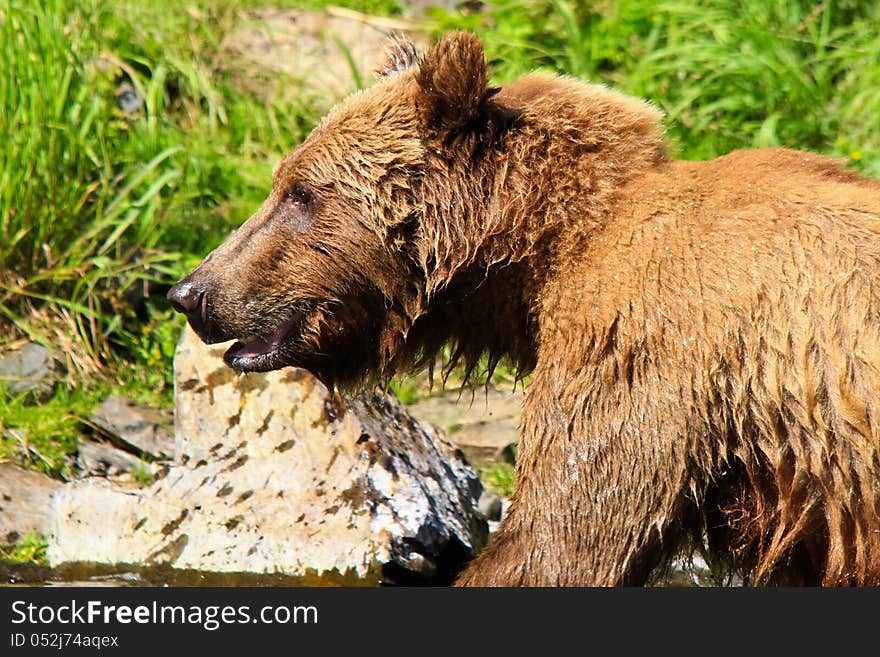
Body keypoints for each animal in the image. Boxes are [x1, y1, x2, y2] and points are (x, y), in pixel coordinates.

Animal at [168, 32, 880, 584]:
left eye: (301, 193)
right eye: (283, 182)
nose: (192, 292)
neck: (540, 257)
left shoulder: (639, 353)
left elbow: (560, 537)